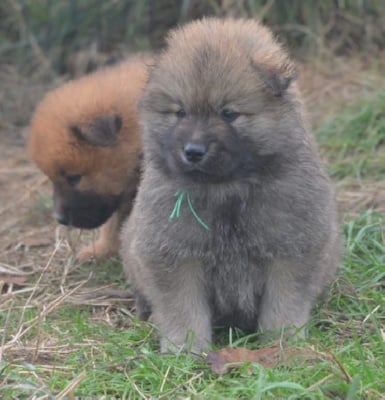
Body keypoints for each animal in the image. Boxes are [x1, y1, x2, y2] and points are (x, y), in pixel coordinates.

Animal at [120, 18, 340, 354]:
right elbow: (181, 307)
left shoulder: (292, 247)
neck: (228, 190)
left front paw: (282, 342)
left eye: (228, 113)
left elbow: (285, 302)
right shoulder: (173, 253)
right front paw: (185, 349)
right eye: (180, 112)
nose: (193, 151)